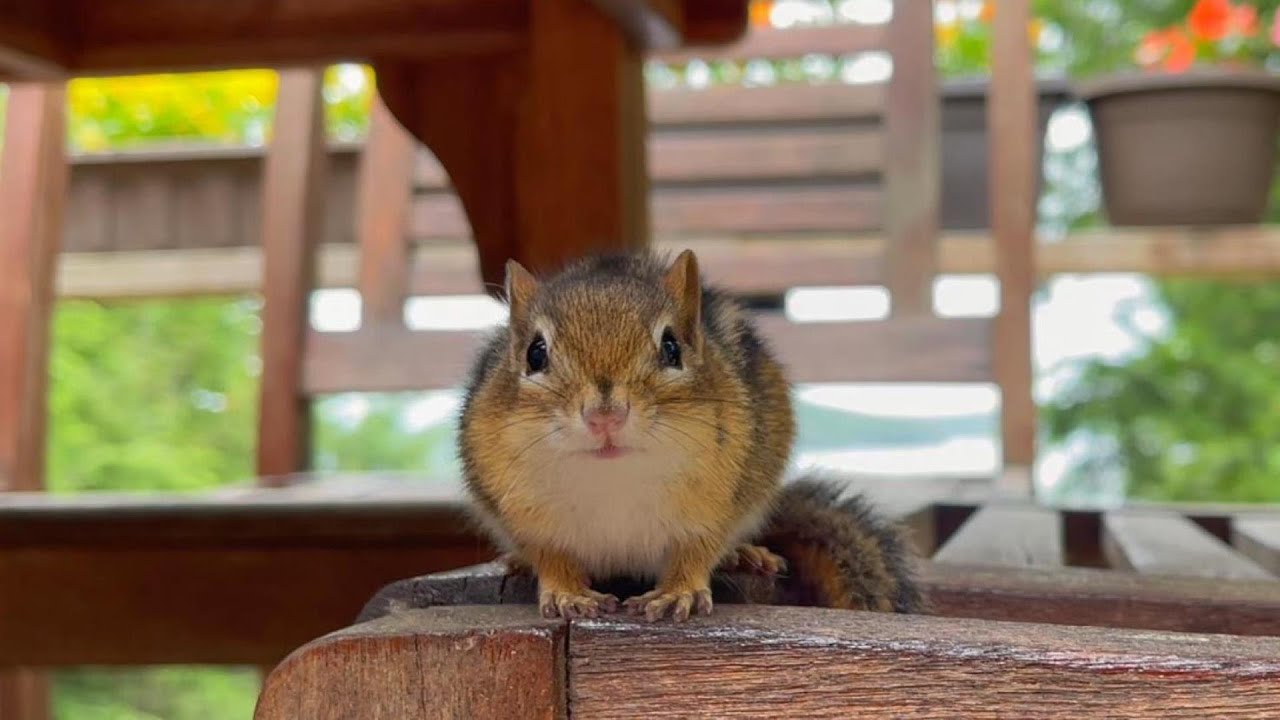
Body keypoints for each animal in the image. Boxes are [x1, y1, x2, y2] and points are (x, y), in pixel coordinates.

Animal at [457, 249, 925, 622]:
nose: (605, 416)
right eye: (535, 354)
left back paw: (744, 552)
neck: (615, 480)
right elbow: (551, 555)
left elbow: (696, 550)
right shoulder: (528, 517)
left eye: (671, 347)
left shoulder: (714, 505)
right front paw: (566, 590)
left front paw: (677, 591)